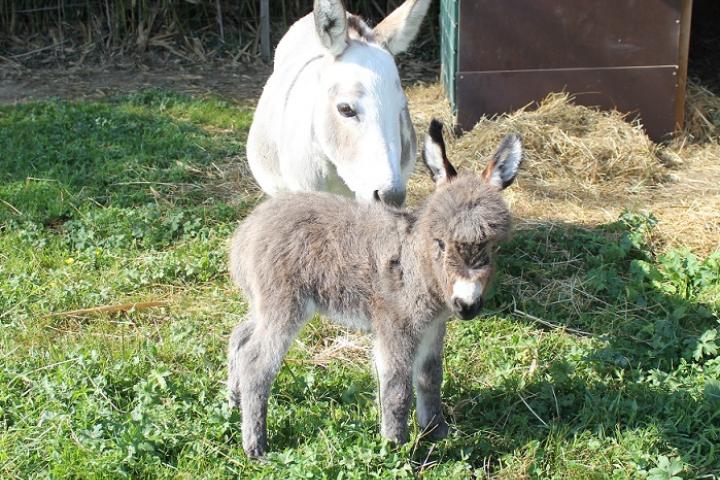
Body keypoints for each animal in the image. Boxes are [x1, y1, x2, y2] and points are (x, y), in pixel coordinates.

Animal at [231, 120, 524, 458]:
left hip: (262, 303)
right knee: (256, 362)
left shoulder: (433, 329)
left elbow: (430, 377)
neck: (418, 266)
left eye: (492, 248)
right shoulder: (395, 329)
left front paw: (435, 431)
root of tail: (248, 229)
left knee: (239, 338)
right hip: (285, 305)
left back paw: (233, 402)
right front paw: (396, 446)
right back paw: (255, 445)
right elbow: (397, 387)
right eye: (439, 243)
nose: (467, 305)